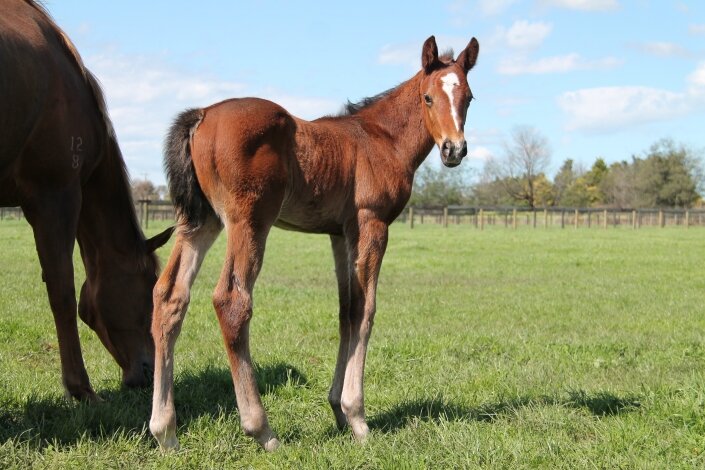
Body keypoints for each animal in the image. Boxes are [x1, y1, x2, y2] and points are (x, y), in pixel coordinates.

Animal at [148, 35, 478, 450]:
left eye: (468, 97)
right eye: (428, 98)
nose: (454, 149)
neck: (382, 139)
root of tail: (202, 115)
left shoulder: (341, 234)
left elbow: (346, 311)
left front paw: (338, 409)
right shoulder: (372, 224)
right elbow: (366, 311)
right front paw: (358, 418)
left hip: (199, 221)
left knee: (170, 296)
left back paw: (165, 431)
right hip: (249, 221)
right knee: (231, 301)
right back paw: (262, 429)